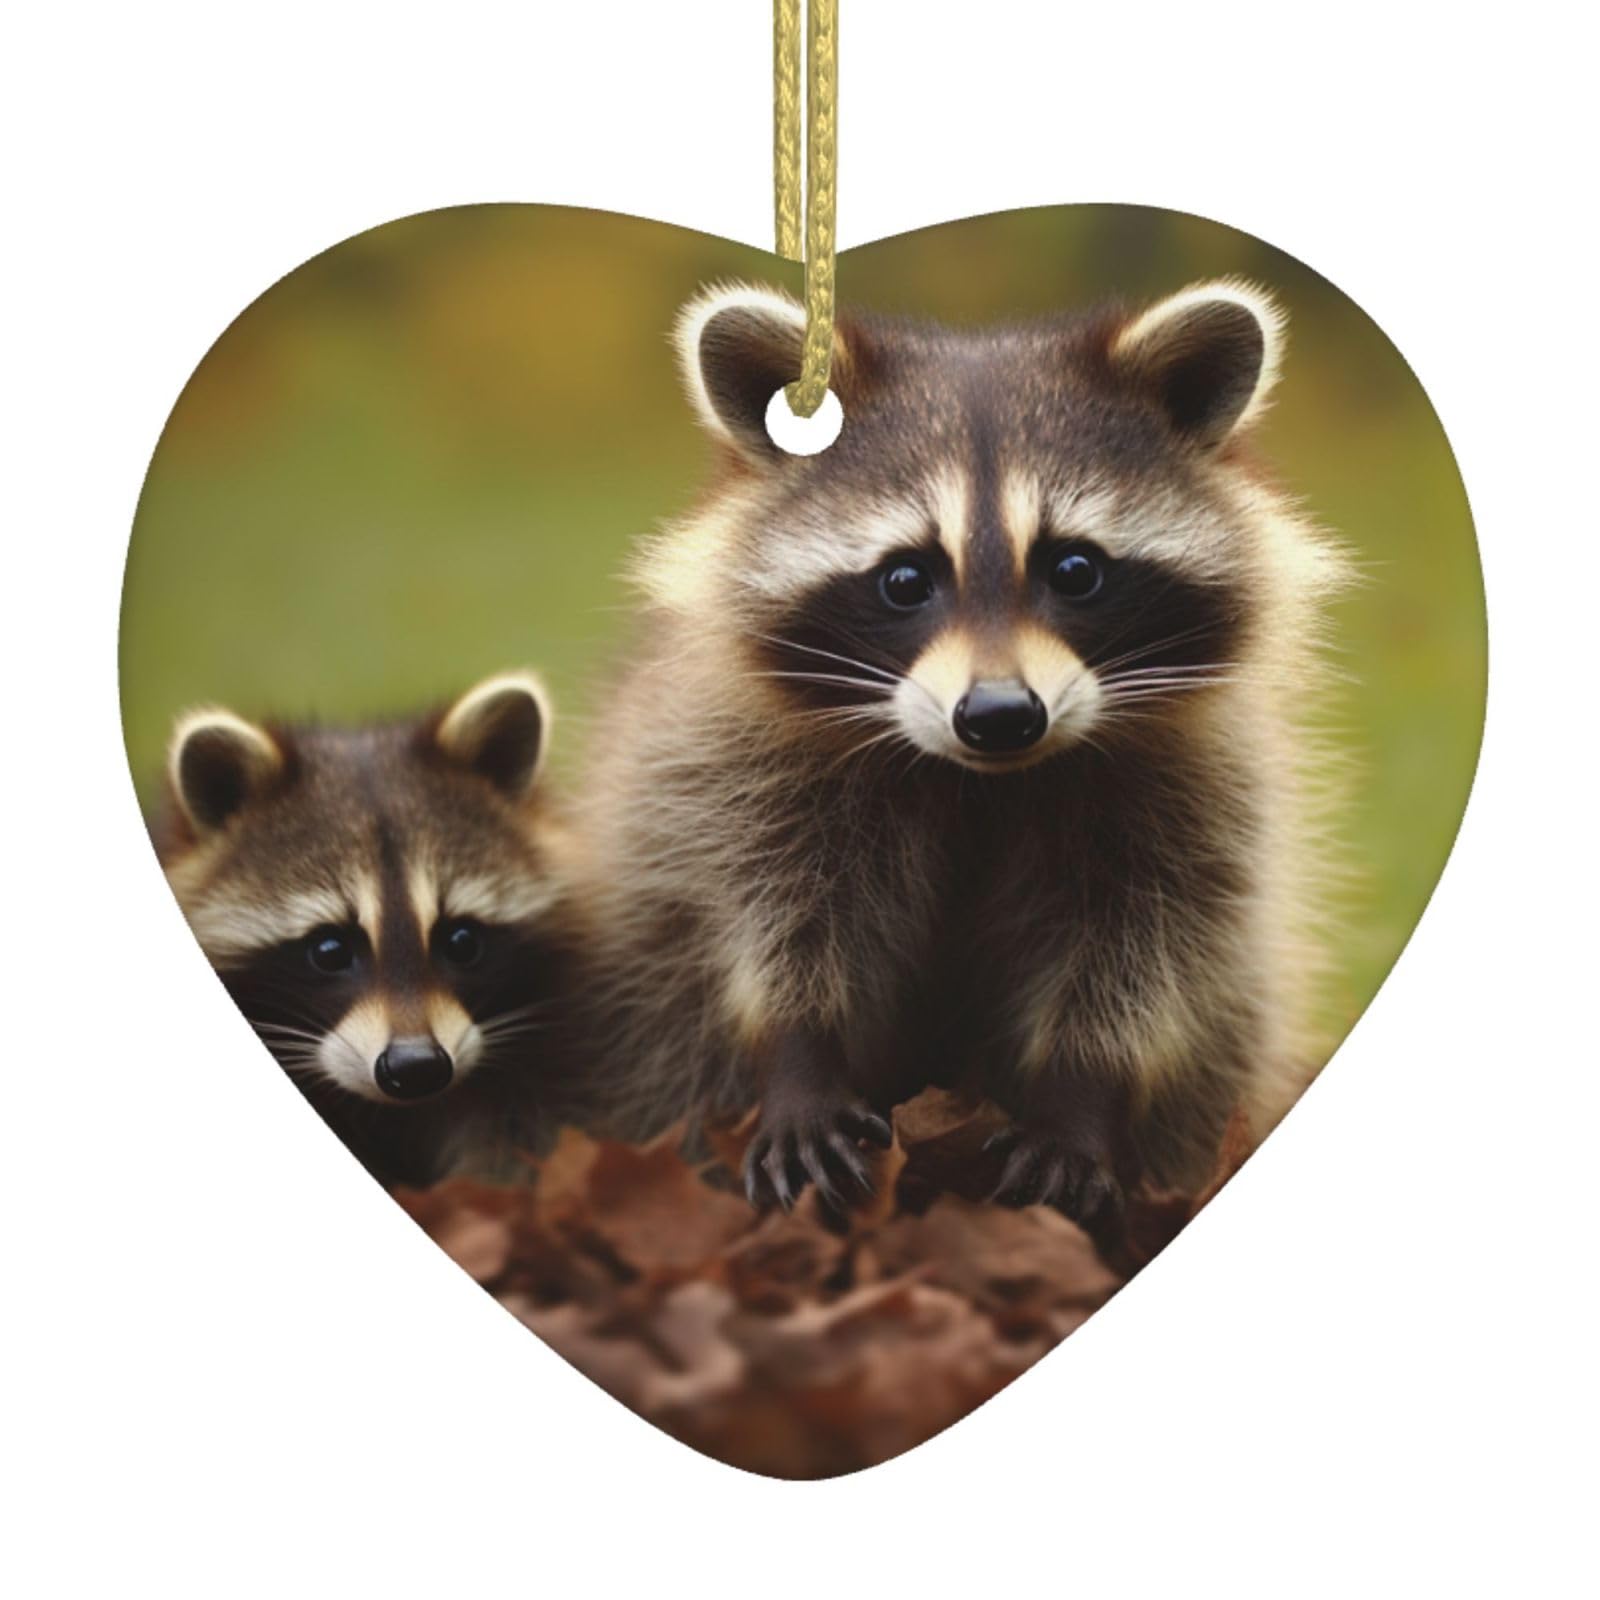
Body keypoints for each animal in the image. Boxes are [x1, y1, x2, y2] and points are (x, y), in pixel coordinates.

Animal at [574, 279, 1351, 1221]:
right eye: (906, 579)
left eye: (1075, 570)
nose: (1001, 716)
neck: (981, 779)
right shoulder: (733, 765)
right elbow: (772, 913)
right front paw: (800, 1056)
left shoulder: (1194, 782)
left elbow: (1146, 944)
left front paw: (1080, 1096)